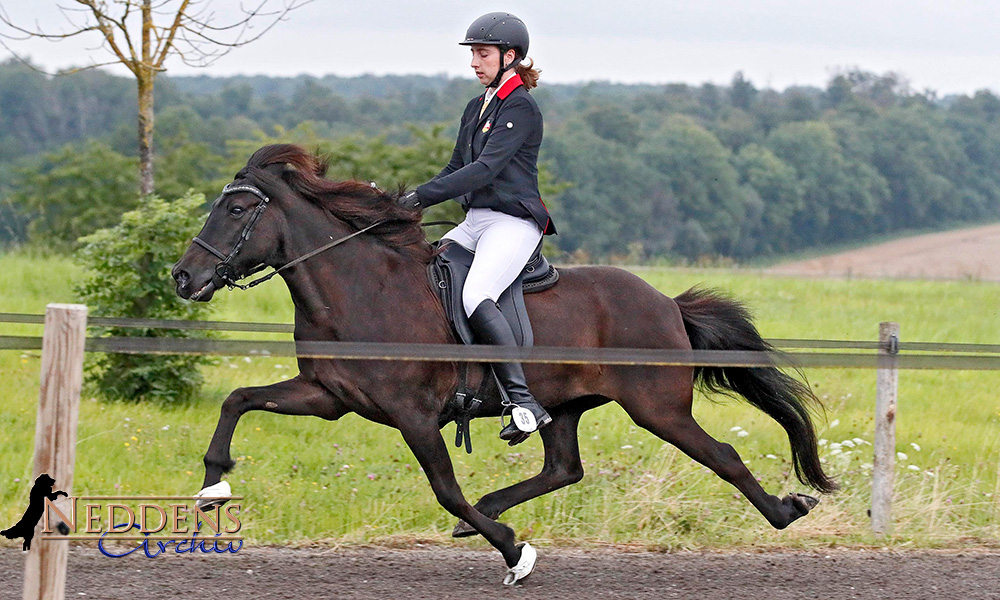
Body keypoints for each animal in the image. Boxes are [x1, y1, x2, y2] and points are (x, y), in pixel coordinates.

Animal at [170, 143, 836, 584]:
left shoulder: (414, 417)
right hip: (564, 406)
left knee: (720, 456)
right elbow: (238, 400)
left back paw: (786, 510)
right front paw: (213, 484)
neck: (360, 290)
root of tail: (666, 303)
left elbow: (445, 490)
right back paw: (492, 509)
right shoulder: (328, 397)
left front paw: (515, 553)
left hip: (658, 408)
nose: (183, 277)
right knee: (564, 468)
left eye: (236, 212)